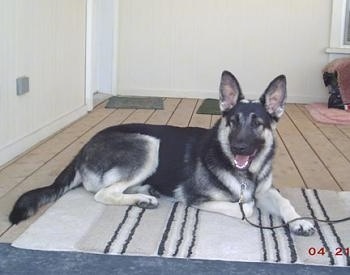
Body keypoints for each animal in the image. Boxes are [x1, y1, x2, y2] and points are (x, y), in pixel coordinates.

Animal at [8, 71, 314, 237]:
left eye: (257, 124)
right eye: (233, 122)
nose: (239, 148)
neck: (246, 173)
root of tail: (82, 148)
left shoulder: (266, 190)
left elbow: (283, 201)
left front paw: (300, 221)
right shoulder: (196, 199)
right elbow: (246, 206)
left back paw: (144, 193)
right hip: (148, 143)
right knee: (103, 193)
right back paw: (142, 197)